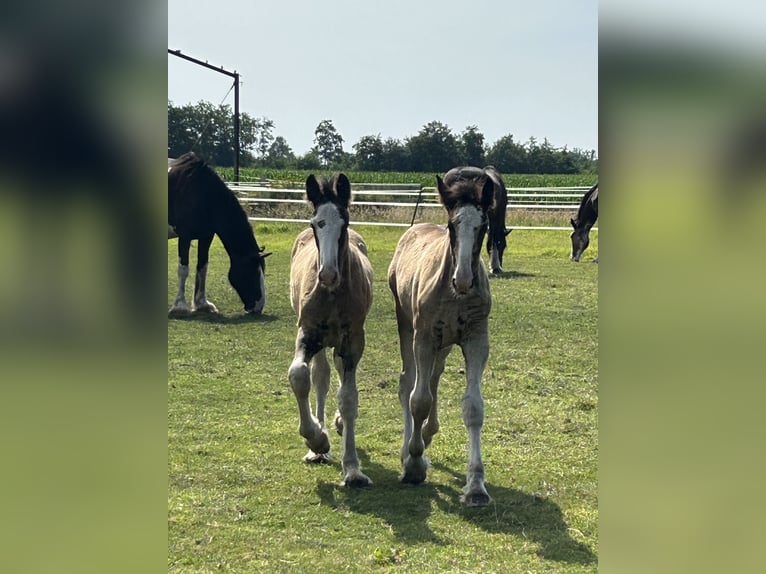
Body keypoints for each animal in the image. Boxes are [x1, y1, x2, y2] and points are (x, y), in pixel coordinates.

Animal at [168, 152, 270, 316]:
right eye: (252, 273)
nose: (258, 307)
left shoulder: (206, 237)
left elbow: (202, 268)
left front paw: (202, 304)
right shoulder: (184, 236)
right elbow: (183, 270)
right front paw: (180, 307)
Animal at [288, 173, 376, 488]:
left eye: (344, 222)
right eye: (316, 223)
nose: (327, 274)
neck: (332, 294)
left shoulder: (352, 342)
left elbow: (348, 397)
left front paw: (352, 469)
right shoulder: (307, 334)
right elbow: (300, 376)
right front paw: (316, 440)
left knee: (336, 375)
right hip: (322, 342)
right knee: (321, 377)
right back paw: (320, 446)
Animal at [390, 170, 498, 504]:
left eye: (483, 226)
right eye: (452, 225)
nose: (463, 280)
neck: (454, 295)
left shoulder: (476, 340)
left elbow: (473, 407)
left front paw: (476, 485)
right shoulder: (424, 337)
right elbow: (419, 399)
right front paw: (413, 464)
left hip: (445, 343)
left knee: (434, 377)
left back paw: (426, 434)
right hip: (408, 327)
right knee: (409, 382)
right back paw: (410, 448)